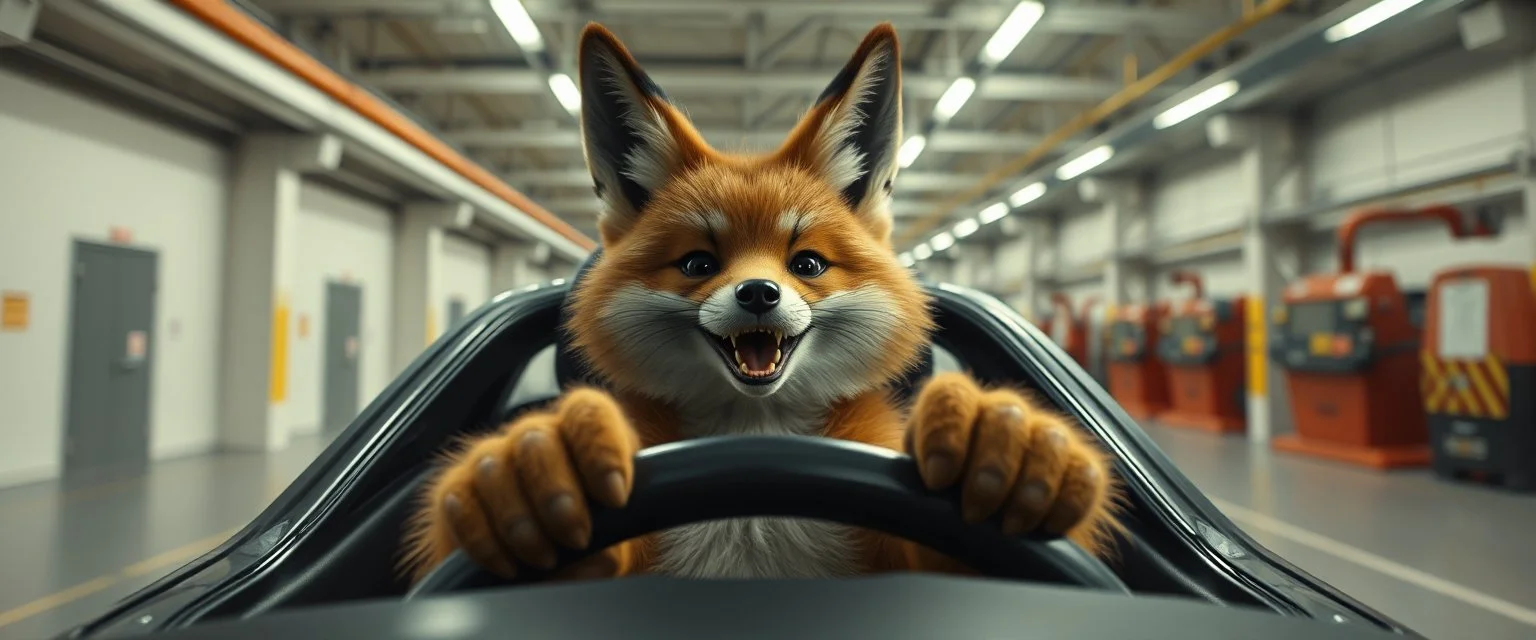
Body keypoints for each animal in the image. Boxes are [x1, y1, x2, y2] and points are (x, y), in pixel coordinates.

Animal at [401, 22, 1123, 583]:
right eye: (699, 263)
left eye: (806, 264)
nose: (758, 292)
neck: (755, 463)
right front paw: (526, 468)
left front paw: (1006, 441)